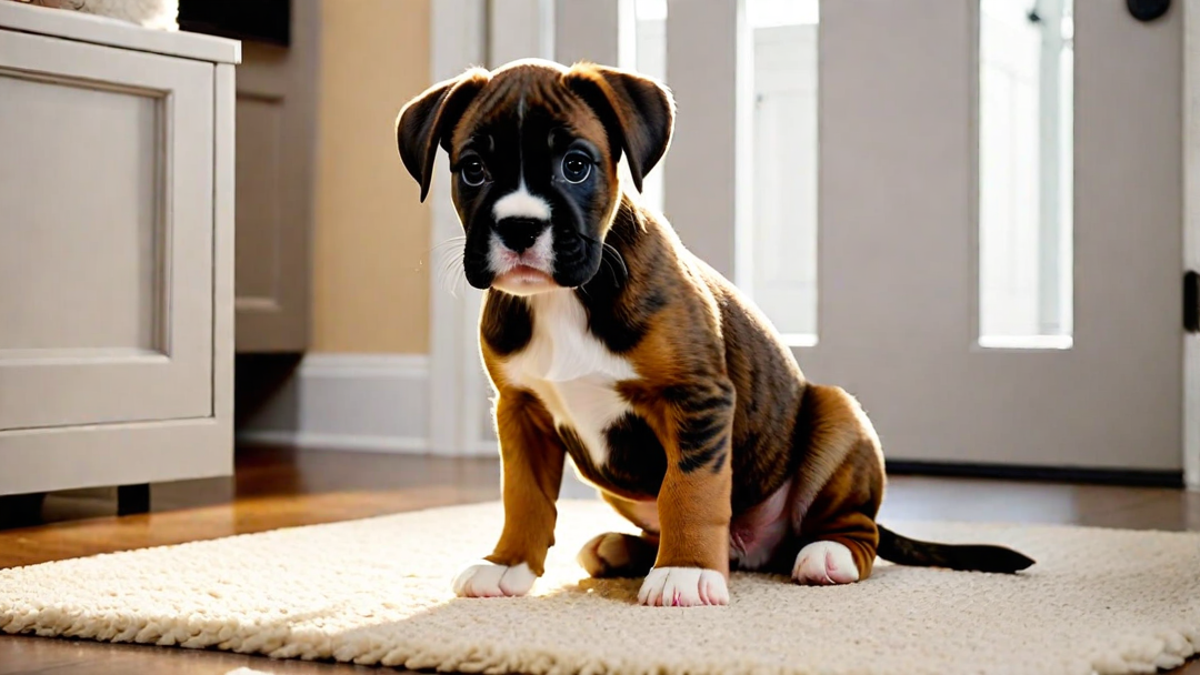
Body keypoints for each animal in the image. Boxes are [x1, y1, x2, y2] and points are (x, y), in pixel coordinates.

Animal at [393, 57, 1032, 605]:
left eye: (576, 165)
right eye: (473, 169)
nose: (520, 227)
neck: (565, 298)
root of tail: (757, 551)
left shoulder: (695, 399)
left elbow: (691, 489)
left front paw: (685, 572)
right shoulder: (520, 411)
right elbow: (523, 496)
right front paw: (508, 565)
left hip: (838, 414)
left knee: (853, 527)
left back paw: (826, 554)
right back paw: (624, 550)